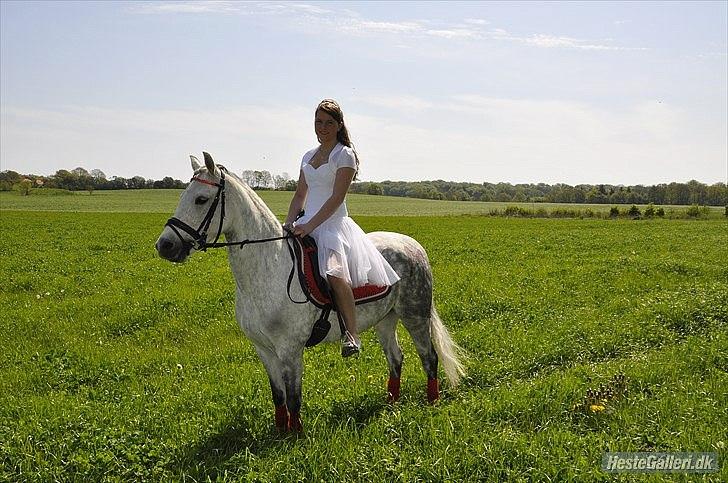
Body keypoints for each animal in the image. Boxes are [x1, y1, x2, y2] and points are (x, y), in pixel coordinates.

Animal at [155, 152, 465, 432]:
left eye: (201, 199)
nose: (165, 245)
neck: (271, 267)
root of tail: (413, 245)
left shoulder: (290, 350)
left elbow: (294, 397)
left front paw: (296, 438)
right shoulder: (264, 350)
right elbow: (278, 396)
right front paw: (281, 433)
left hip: (415, 316)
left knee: (429, 357)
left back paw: (432, 403)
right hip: (385, 319)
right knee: (396, 359)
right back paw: (391, 404)